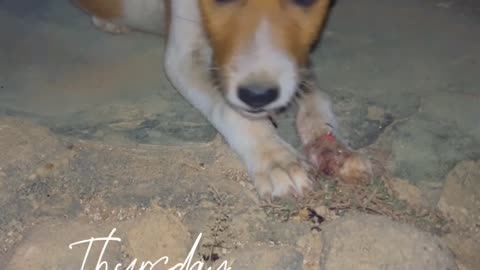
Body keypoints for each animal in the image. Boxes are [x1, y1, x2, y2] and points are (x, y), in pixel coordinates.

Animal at [71, 0, 374, 200]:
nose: (259, 95)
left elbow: (316, 95)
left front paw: (333, 147)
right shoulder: (184, 57)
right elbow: (232, 110)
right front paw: (274, 158)